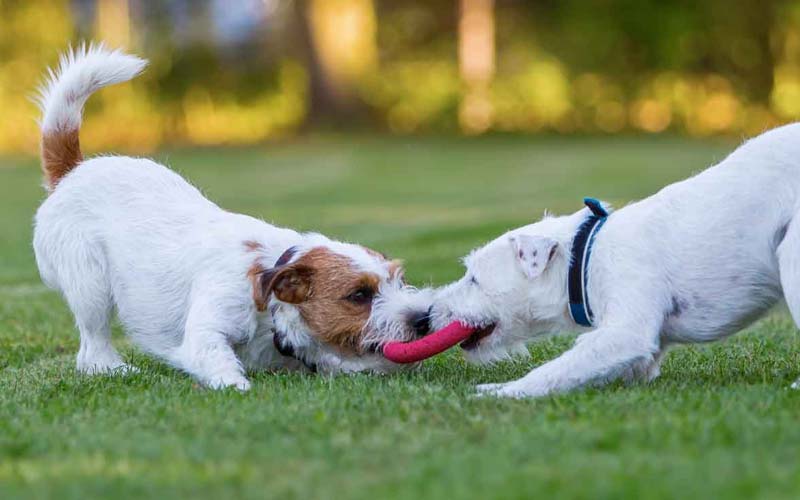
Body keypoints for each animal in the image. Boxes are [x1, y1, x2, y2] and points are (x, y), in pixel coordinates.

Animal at [32, 46, 432, 390]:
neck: (268, 295)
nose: (422, 318)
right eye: (359, 295)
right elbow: (215, 357)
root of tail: (72, 171)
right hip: (91, 287)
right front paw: (235, 385)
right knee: (92, 348)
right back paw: (115, 369)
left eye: (400, 280)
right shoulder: (207, 329)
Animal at [432, 125, 800, 398]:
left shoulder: (626, 330)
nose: (427, 314)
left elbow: (556, 368)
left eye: (474, 278)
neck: (583, 258)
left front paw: (501, 391)